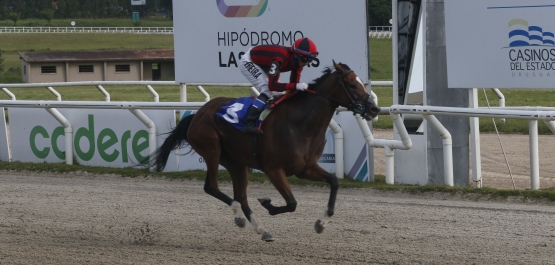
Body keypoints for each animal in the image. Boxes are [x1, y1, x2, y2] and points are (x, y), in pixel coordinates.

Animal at [150, 60, 380, 240]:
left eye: (361, 83)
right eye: (352, 85)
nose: (374, 108)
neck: (301, 123)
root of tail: (197, 114)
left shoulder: (305, 168)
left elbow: (334, 182)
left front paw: (321, 223)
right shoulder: (274, 169)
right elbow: (291, 203)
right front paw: (267, 203)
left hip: (236, 162)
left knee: (241, 196)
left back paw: (262, 230)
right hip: (211, 150)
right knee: (212, 188)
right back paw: (239, 216)